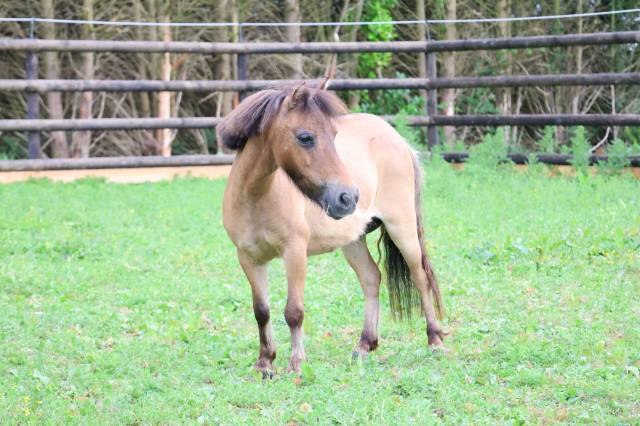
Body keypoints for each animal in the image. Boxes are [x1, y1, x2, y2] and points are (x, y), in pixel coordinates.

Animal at [218, 82, 444, 376]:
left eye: (334, 135)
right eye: (305, 137)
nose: (348, 197)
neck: (256, 196)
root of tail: (397, 139)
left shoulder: (295, 253)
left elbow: (293, 311)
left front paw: (296, 364)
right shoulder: (248, 258)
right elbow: (261, 311)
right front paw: (265, 363)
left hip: (402, 229)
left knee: (420, 278)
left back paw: (435, 340)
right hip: (353, 240)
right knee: (371, 278)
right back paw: (364, 345)